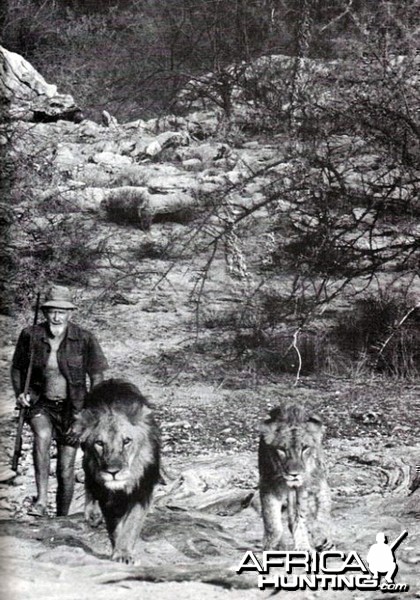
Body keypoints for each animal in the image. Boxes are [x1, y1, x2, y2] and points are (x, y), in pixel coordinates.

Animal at [74, 380, 161, 564]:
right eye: (100, 443)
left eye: (126, 441)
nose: (112, 472)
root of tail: (112, 380)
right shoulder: (106, 497)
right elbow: (114, 526)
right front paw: (119, 551)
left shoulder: (142, 491)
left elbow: (131, 523)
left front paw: (124, 553)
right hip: (87, 458)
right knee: (88, 480)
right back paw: (92, 514)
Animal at [260, 400, 332, 552]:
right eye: (281, 449)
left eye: (304, 448)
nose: (294, 474)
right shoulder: (268, 485)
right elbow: (272, 523)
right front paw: (269, 544)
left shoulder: (304, 488)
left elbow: (302, 518)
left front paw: (304, 546)